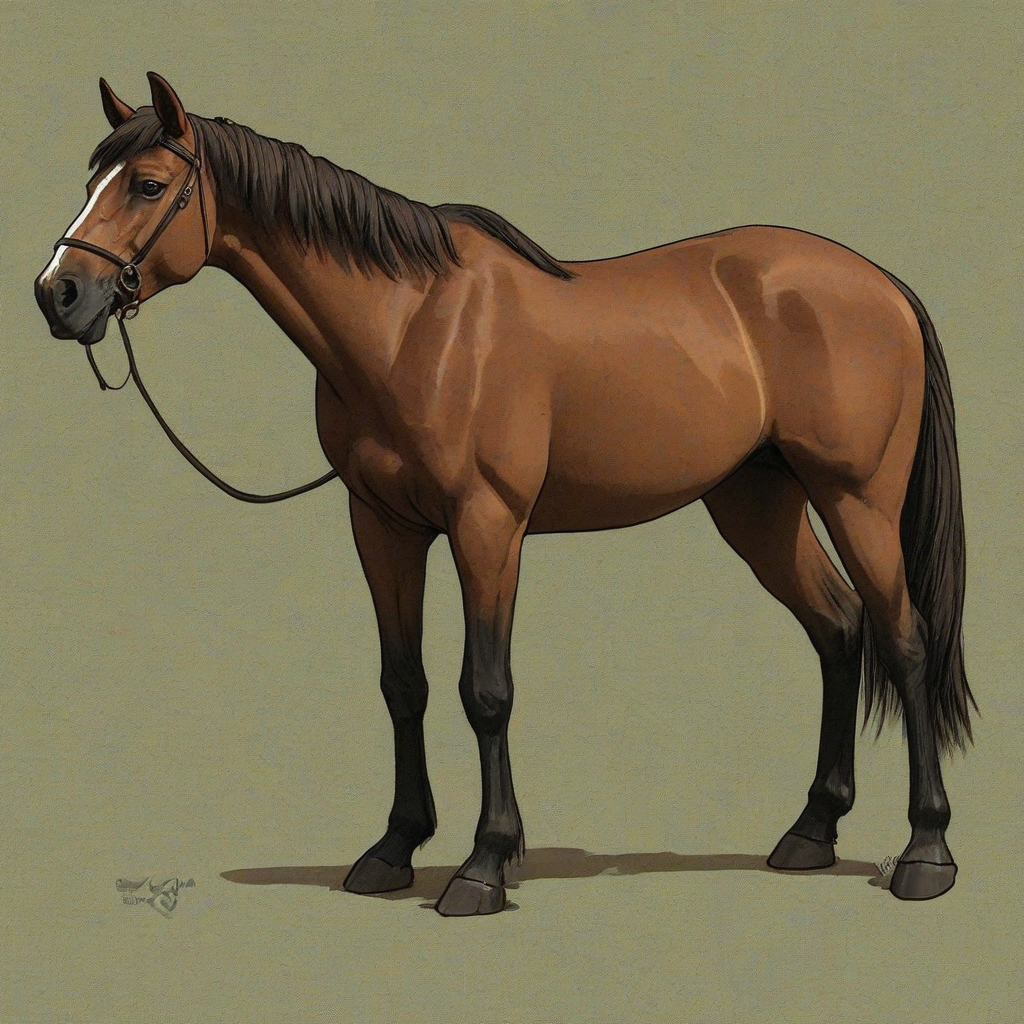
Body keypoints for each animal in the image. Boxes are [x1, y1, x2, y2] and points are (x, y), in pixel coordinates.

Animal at [34, 73, 973, 916]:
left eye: (148, 185)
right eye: (91, 184)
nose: (58, 294)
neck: (414, 325)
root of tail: (883, 285)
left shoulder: (486, 526)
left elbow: (485, 690)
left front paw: (482, 867)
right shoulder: (381, 526)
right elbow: (402, 684)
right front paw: (392, 849)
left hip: (856, 500)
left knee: (903, 638)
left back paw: (926, 854)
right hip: (758, 506)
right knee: (839, 628)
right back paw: (812, 832)